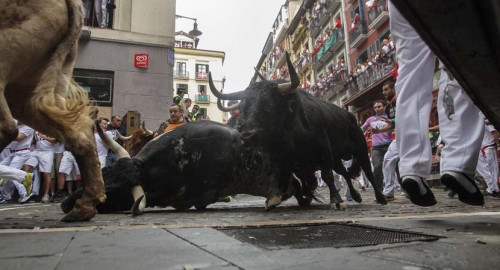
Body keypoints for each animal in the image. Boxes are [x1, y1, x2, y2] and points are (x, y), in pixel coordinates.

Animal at [209, 52, 388, 209]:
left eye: (269, 105)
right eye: (243, 108)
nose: (247, 135)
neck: (288, 131)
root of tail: (349, 115)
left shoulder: (323, 149)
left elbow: (326, 176)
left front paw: (336, 201)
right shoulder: (283, 159)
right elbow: (277, 175)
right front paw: (274, 197)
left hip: (360, 148)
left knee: (368, 171)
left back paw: (380, 197)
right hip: (337, 158)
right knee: (344, 173)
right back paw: (356, 196)